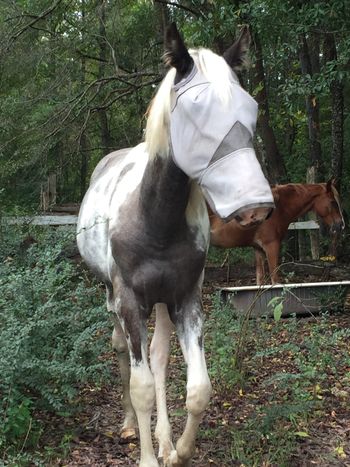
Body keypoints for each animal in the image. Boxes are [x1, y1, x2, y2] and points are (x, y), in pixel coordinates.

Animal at [77, 23, 274, 466]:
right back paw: (129, 426)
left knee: (159, 356)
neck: (154, 220)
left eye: (250, 106)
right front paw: (148, 456)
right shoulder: (129, 300)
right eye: (196, 110)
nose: (255, 208)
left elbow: (197, 388)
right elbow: (140, 386)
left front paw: (178, 452)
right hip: (112, 295)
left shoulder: (186, 298)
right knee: (122, 349)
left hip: (164, 303)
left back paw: (164, 440)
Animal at [209, 181, 346, 286]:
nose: (341, 225)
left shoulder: (258, 249)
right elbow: (275, 280)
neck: (278, 209)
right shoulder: (271, 246)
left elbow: (260, 281)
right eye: (333, 202)